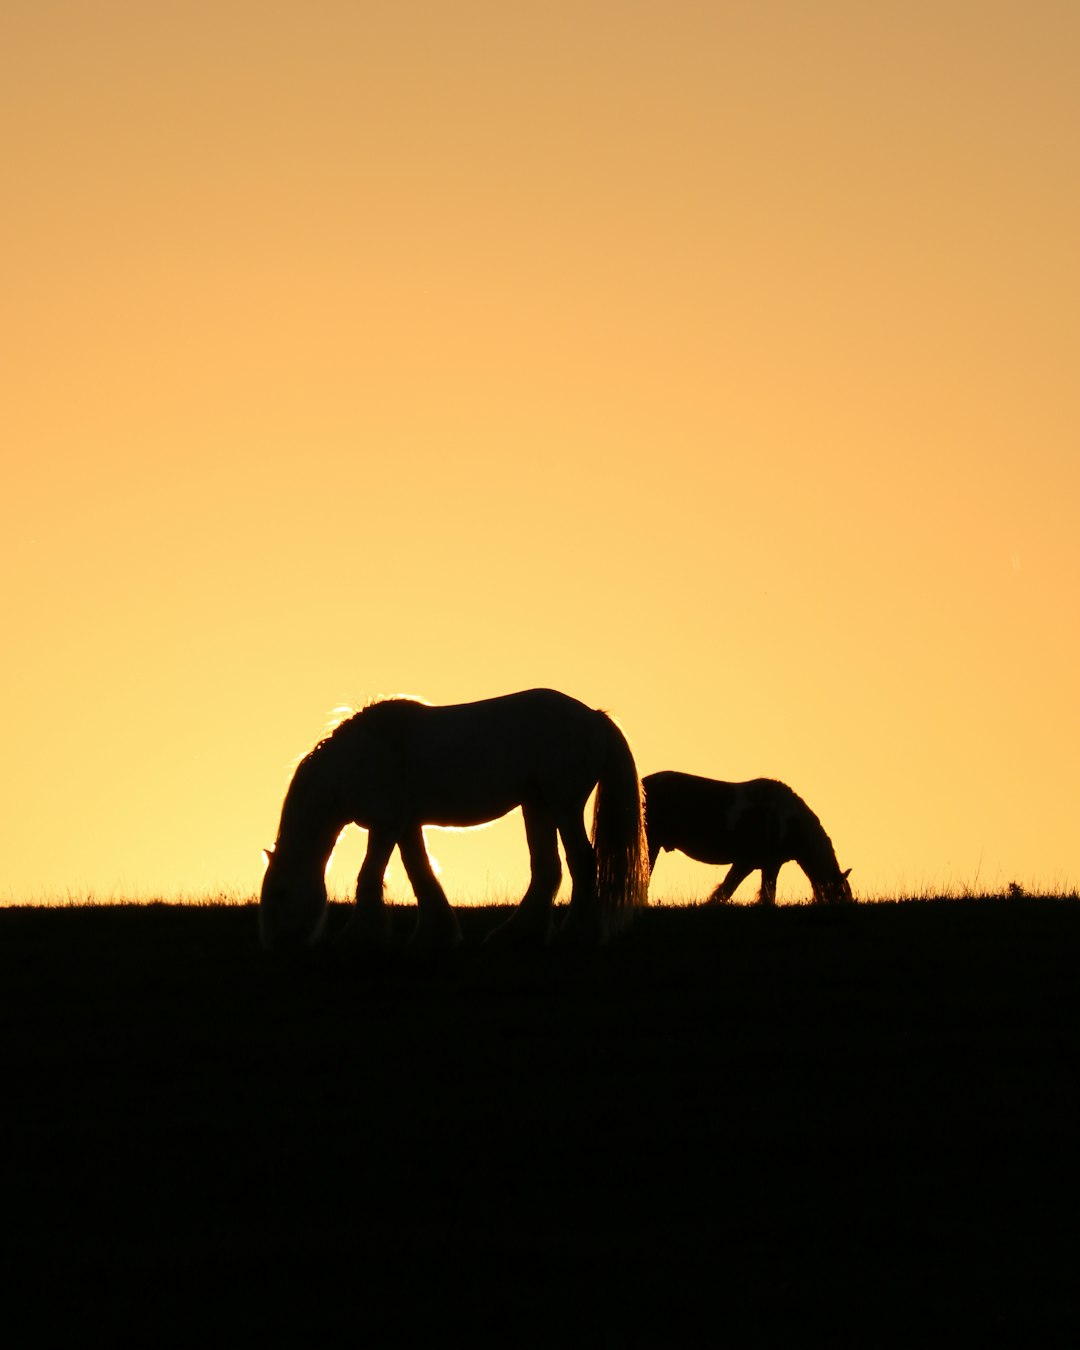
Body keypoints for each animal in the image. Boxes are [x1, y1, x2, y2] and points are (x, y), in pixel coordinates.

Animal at [261, 691, 650, 955]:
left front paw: (359, 936)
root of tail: (594, 717)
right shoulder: (406, 825)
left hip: (563, 805)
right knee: (547, 869)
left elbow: (370, 876)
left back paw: (576, 934)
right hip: (537, 806)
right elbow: (420, 873)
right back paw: (518, 934)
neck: (359, 760)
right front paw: (435, 933)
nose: (275, 944)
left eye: (280, 893)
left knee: (582, 862)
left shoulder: (386, 825)